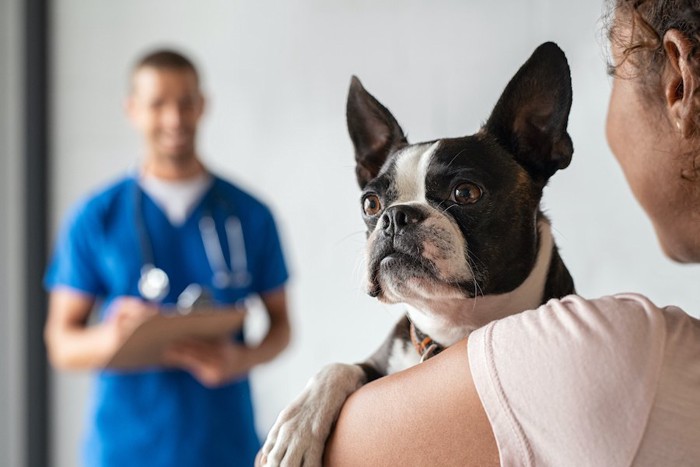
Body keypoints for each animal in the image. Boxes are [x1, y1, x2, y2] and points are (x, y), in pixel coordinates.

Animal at [262, 42, 576, 466]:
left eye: (466, 192)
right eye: (371, 203)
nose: (395, 216)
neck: (449, 328)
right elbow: (339, 367)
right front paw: (296, 427)